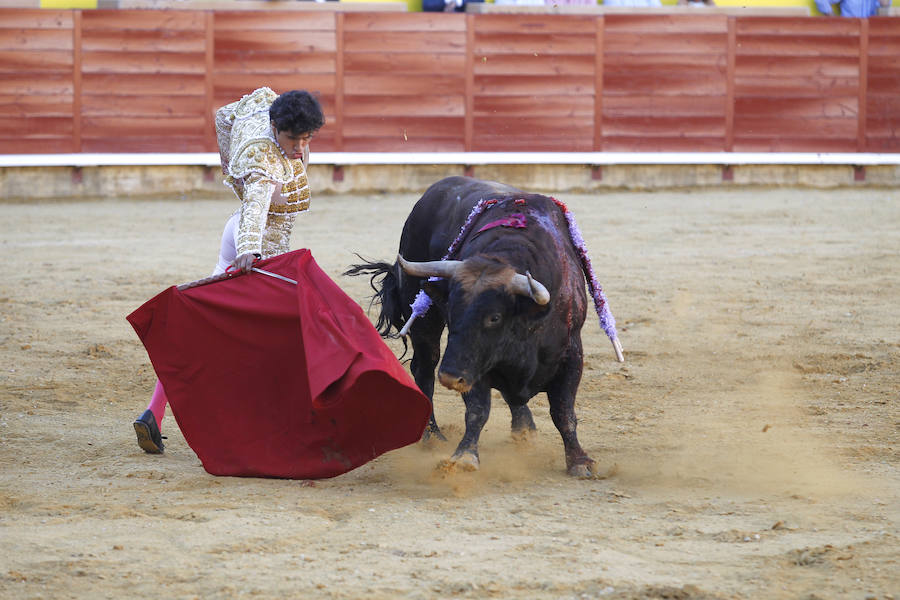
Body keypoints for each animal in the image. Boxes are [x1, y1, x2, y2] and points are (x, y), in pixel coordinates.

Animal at [344, 176, 620, 476]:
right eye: (451, 310)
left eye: (494, 317)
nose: (449, 377)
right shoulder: (471, 365)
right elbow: (477, 409)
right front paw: (464, 456)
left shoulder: (571, 353)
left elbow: (563, 410)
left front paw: (579, 461)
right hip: (425, 324)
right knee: (424, 369)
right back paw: (433, 436)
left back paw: (524, 431)